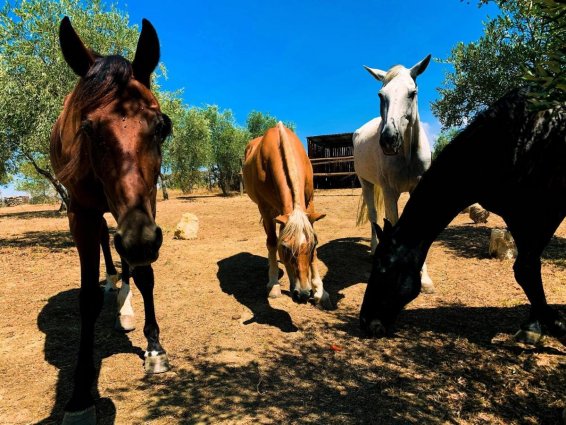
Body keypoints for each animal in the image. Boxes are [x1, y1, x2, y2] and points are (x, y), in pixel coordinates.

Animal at [50, 17, 171, 424]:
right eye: (87, 128)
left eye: (162, 126)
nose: (140, 241)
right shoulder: (80, 213)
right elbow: (87, 298)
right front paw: (79, 396)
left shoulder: (148, 203)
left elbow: (147, 276)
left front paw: (154, 347)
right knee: (107, 242)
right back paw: (112, 283)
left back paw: (126, 302)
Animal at [244, 121, 332, 308]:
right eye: (284, 247)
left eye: (314, 244)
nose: (303, 294)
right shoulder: (266, 209)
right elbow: (272, 242)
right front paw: (274, 285)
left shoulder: (309, 202)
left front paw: (320, 292)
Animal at [356, 54, 434, 294]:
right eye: (381, 95)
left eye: (412, 93)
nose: (389, 139)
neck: (407, 155)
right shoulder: (390, 192)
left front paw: (425, 279)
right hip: (366, 183)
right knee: (373, 215)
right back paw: (374, 250)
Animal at [362, 88, 564, 346]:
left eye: (383, 269)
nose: (365, 321)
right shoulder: (517, 217)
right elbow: (527, 269)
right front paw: (534, 326)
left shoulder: (542, 214)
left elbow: (525, 269)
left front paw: (556, 325)